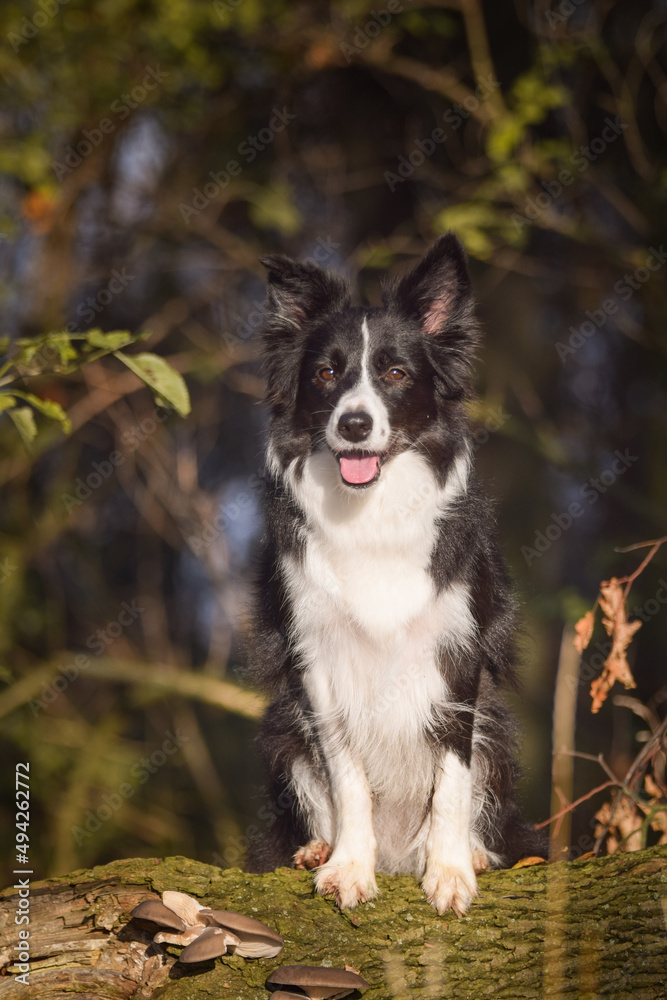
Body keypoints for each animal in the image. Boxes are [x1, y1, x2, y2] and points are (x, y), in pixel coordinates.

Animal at [248, 232, 544, 916]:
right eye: (326, 373)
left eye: (395, 373)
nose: (354, 424)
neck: (370, 511)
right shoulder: (318, 662)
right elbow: (348, 776)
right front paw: (350, 867)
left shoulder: (457, 656)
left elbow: (452, 781)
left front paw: (452, 871)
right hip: (283, 731)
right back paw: (319, 848)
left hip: (498, 735)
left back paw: (472, 855)